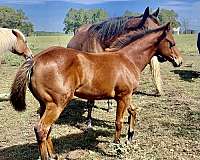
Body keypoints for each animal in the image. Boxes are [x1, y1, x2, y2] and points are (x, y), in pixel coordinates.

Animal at [10, 23, 183, 159]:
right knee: (41, 129)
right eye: (172, 43)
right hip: (56, 104)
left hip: (45, 104)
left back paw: (54, 154)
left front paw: (130, 138)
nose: (179, 61)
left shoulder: (127, 96)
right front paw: (117, 146)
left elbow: (133, 111)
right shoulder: (123, 97)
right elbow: (118, 122)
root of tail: (36, 60)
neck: (128, 59)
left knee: (47, 130)